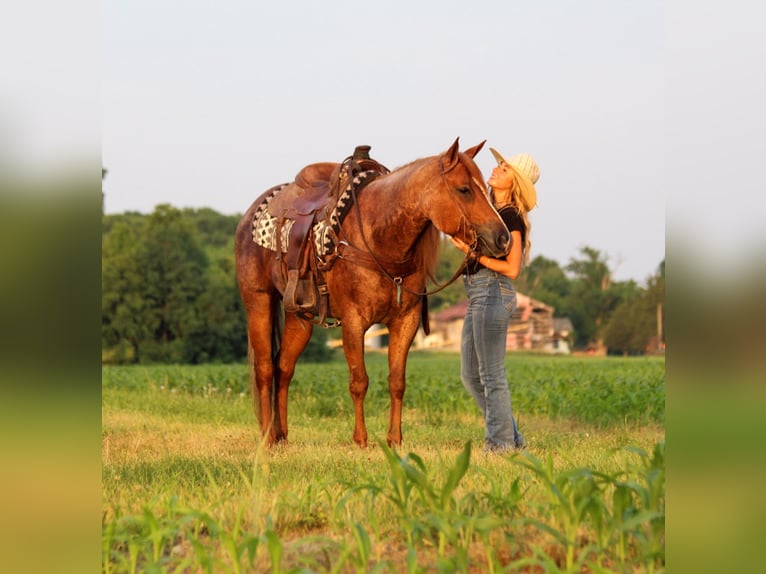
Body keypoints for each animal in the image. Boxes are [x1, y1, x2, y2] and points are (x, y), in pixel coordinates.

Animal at [234, 140, 510, 450]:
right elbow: (359, 381)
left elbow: (397, 381)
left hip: (299, 316)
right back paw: (267, 438)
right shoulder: (354, 323)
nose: (503, 239)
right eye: (464, 189)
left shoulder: (406, 321)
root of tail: (249, 216)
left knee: (284, 368)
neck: (380, 238)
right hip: (258, 302)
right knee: (265, 369)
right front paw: (360, 440)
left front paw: (395, 440)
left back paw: (282, 437)